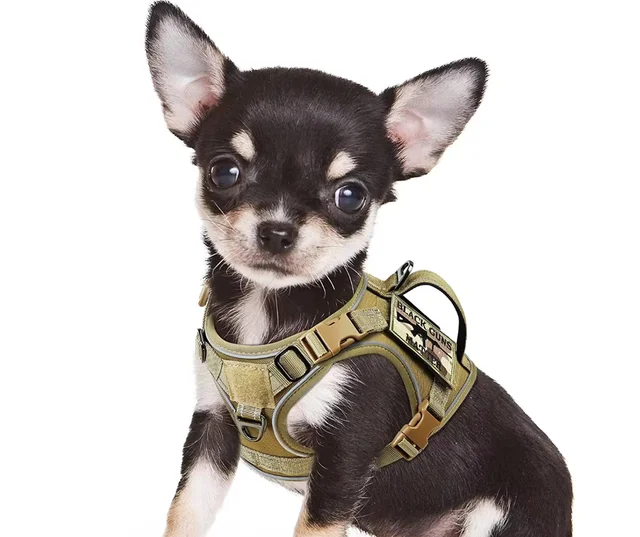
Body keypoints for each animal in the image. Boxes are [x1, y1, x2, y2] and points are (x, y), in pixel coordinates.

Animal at [145, 3, 572, 536]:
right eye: (224, 171)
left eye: (351, 195)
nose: (277, 230)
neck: (269, 318)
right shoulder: (212, 428)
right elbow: (185, 512)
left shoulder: (344, 454)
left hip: (499, 519)